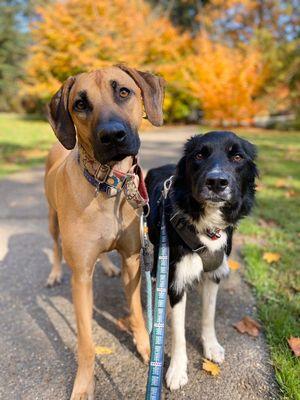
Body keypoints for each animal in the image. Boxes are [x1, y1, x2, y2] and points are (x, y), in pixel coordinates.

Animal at [45, 66, 164, 400]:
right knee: (56, 248)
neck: (109, 184)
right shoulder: (81, 277)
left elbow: (136, 311)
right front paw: (84, 385)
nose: (112, 136)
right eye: (80, 104)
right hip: (52, 219)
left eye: (123, 91)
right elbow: (86, 342)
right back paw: (54, 273)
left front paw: (147, 348)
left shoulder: (133, 261)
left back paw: (108, 266)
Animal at [145, 131, 258, 390]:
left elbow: (208, 315)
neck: (207, 227)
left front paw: (211, 346)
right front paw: (177, 370)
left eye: (237, 156)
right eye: (199, 155)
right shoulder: (176, 281)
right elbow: (178, 332)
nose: (216, 182)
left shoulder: (214, 274)